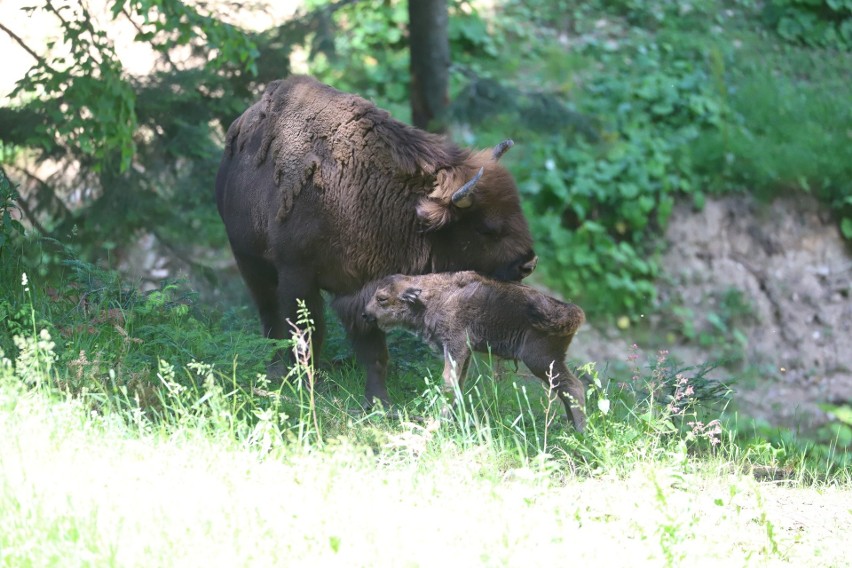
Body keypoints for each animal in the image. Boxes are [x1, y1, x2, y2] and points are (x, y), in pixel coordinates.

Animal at [218, 75, 540, 406]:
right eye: (487, 228)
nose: (527, 264)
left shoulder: (364, 288)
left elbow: (373, 350)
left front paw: (379, 402)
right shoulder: (298, 276)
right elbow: (308, 335)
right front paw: (309, 388)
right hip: (249, 261)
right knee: (269, 314)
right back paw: (274, 370)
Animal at [362, 270, 588, 430]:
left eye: (382, 298)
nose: (365, 314)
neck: (431, 297)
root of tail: (571, 311)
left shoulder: (455, 348)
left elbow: (448, 383)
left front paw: (438, 421)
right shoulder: (465, 353)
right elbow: (459, 384)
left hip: (540, 361)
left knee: (574, 387)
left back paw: (580, 432)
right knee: (565, 390)